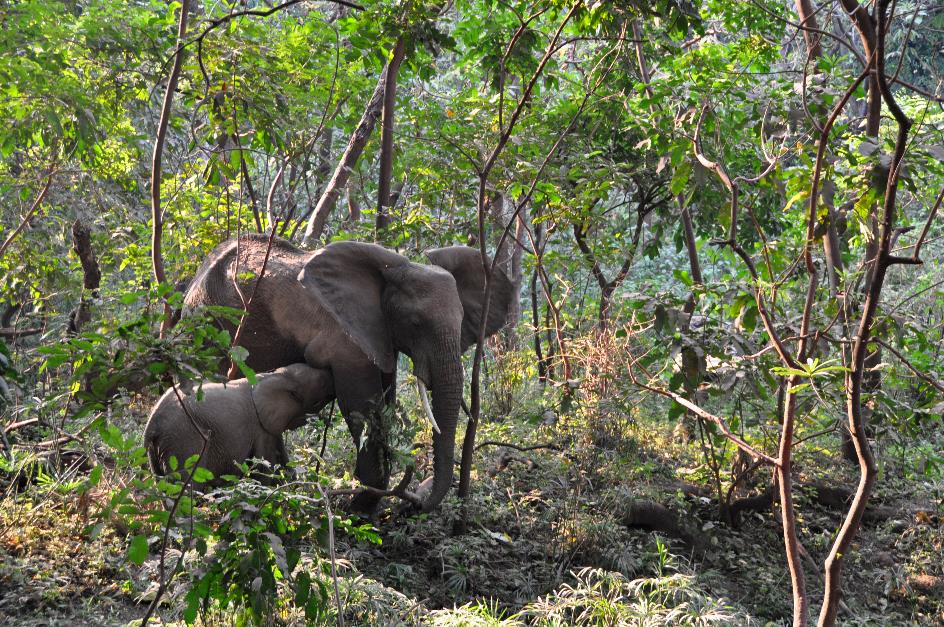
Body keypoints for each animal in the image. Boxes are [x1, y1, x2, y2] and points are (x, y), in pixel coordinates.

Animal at [140, 364, 332, 480]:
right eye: (322, 385)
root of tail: (151, 426)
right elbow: (266, 468)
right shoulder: (260, 428)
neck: (275, 375)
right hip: (184, 440)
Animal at [181, 233, 512, 512]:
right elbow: (362, 407)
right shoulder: (345, 336)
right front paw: (359, 511)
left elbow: (385, 399)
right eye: (415, 323)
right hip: (206, 326)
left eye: (461, 321)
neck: (395, 269)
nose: (414, 505)